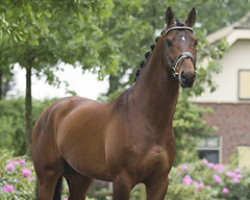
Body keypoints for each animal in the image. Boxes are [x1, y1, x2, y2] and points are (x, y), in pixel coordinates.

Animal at [32, 7, 197, 199]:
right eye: (169, 42)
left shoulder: (159, 183)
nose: (188, 76)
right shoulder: (122, 181)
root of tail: (50, 111)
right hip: (47, 177)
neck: (148, 120)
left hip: (79, 177)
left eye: (195, 42)